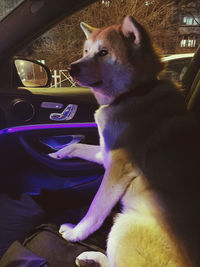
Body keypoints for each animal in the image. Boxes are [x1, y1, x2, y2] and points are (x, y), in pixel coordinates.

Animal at [49, 15, 200, 266]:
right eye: (86, 51)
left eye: (103, 52)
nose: (71, 67)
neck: (134, 93)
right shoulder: (106, 153)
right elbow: (76, 146)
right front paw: (58, 153)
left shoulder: (118, 169)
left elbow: (96, 209)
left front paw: (76, 233)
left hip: (124, 225)